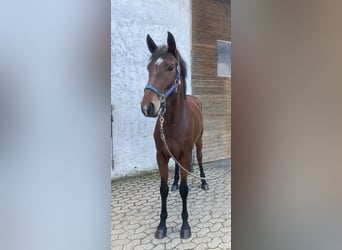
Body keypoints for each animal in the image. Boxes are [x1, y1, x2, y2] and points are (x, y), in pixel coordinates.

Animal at [140, 32, 208, 239]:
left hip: (199, 143)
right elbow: (163, 190)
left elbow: (185, 191)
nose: (148, 107)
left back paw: (204, 182)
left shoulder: (186, 155)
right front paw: (162, 225)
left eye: (170, 67)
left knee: (200, 158)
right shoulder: (161, 156)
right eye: (149, 68)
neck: (172, 122)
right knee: (177, 169)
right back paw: (176, 182)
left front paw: (185, 225)